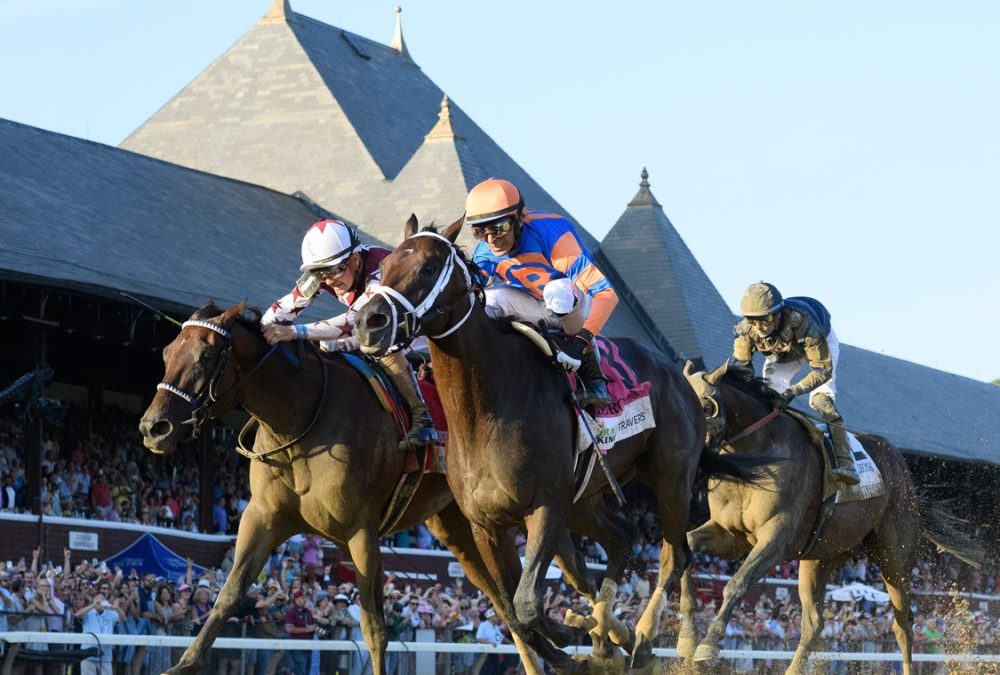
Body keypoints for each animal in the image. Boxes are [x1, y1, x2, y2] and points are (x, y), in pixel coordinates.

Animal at [139, 306, 572, 675]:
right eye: (167, 352)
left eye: (206, 356)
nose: (153, 428)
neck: (300, 420)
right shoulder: (262, 518)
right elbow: (228, 594)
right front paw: (184, 664)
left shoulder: (360, 531)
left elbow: (374, 627)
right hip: (460, 530)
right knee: (506, 607)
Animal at [352, 218, 764, 672]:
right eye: (386, 266)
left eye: (427, 268)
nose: (369, 321)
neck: (487, 408)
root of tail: (681, 377)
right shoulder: (486, 524)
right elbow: (513, 610)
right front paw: (578, 640)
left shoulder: (546, 507)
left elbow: (527, 603)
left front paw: (573, 636)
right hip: (586, 498)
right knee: (622, 537)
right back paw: (605, 634)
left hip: (670, 480)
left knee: (675, 555)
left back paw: (646, 639)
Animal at [676, 364, 980, 675]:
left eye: (706, 406)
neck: (758, 453)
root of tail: (905, 474)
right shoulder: (733, 534)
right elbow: (688, 545)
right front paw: (688, 637)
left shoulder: (776, 538)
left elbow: (737, 582)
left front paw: (708, 644)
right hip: (821, 556)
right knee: (814, 624)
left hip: (894, 556)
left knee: (903, 624)